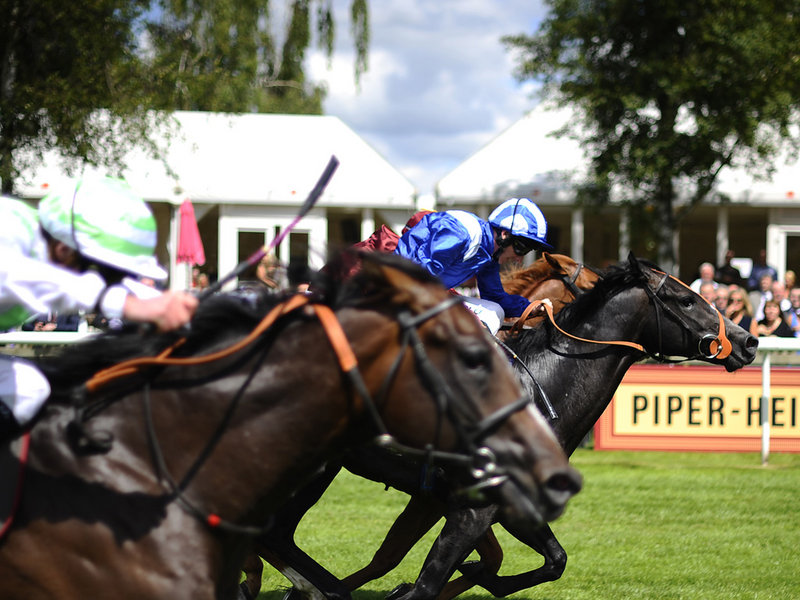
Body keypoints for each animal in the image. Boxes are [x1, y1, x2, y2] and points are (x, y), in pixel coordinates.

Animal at [250, 252, 756, 600]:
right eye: (686, 298)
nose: (748, 340)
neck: (537, 389)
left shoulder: (499, 501)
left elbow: (552, 561)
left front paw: (469, 575)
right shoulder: (467, 507)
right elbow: (427, 578)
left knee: (275, 535)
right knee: (270, 533)